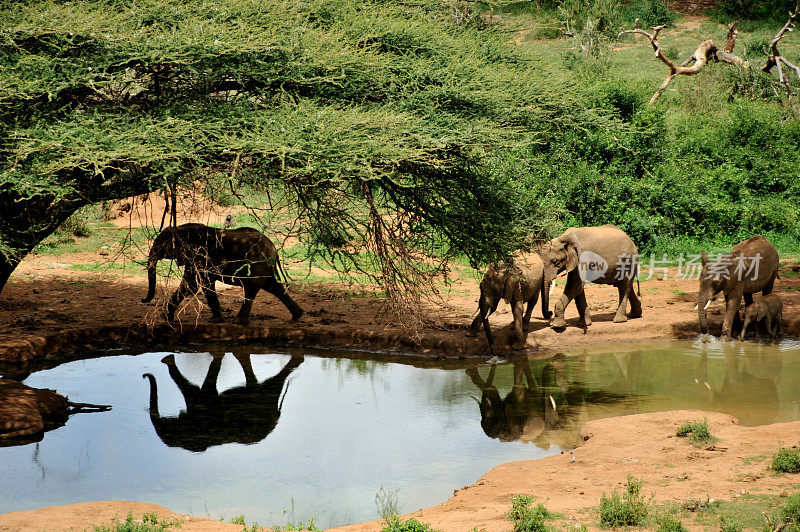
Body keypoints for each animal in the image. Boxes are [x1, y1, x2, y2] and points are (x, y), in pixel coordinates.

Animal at [141, 221, 304, 324]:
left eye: (160, 246)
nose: (143, 300)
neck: (181, 228)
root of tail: (274, 249)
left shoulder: (200, 256)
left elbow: (196, 284)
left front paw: (215, 321)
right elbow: (192, 285)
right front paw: (166, 318)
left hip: (257, 264)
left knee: (252, 289)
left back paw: (238, 322)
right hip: (264, 266)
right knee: (273, 287)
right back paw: (297, 316)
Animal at [141, 356, 304, 450]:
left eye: (166, 429)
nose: (144, 376)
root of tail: (277, 415)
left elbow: (198, 389)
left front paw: (167, 359)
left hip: (267, 400)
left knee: (273, 383)